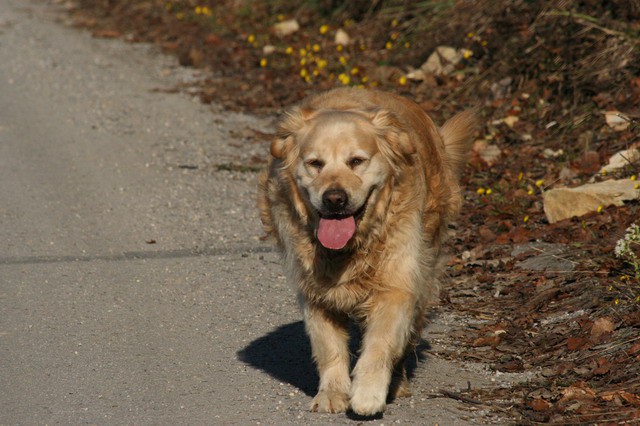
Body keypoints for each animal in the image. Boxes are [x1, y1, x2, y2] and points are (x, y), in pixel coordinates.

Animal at [258, 87, 476, 416]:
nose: (334, 198)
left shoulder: (397, 285)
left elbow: (380, 342)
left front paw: (368, 393)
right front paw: (333, 393)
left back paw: (396, 382)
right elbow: (328, 347)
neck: (352, 248)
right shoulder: (315, 292)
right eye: (315, 163)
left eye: (356, 161)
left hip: (425, 271)